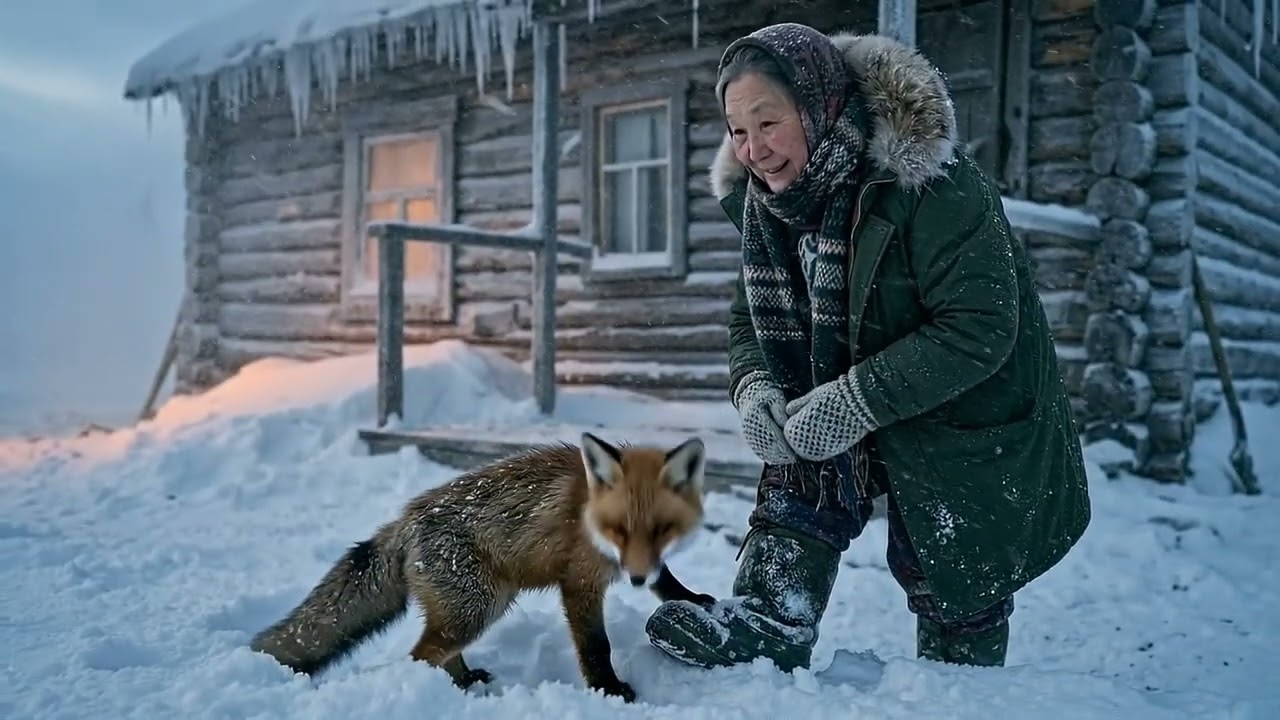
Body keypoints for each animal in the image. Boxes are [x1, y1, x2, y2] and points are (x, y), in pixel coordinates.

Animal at [248, 432, 714, 703]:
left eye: (661, 531)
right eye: (618, 530)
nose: (634, 578)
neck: (588, 515)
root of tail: (406, 521)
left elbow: (666, 580)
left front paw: (692, 598)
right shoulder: (579, 581)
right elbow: (597, 646)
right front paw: (608, 690)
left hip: (480, 604)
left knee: (438, 650)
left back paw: (465, 680)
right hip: (478, 606)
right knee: (422, 654)